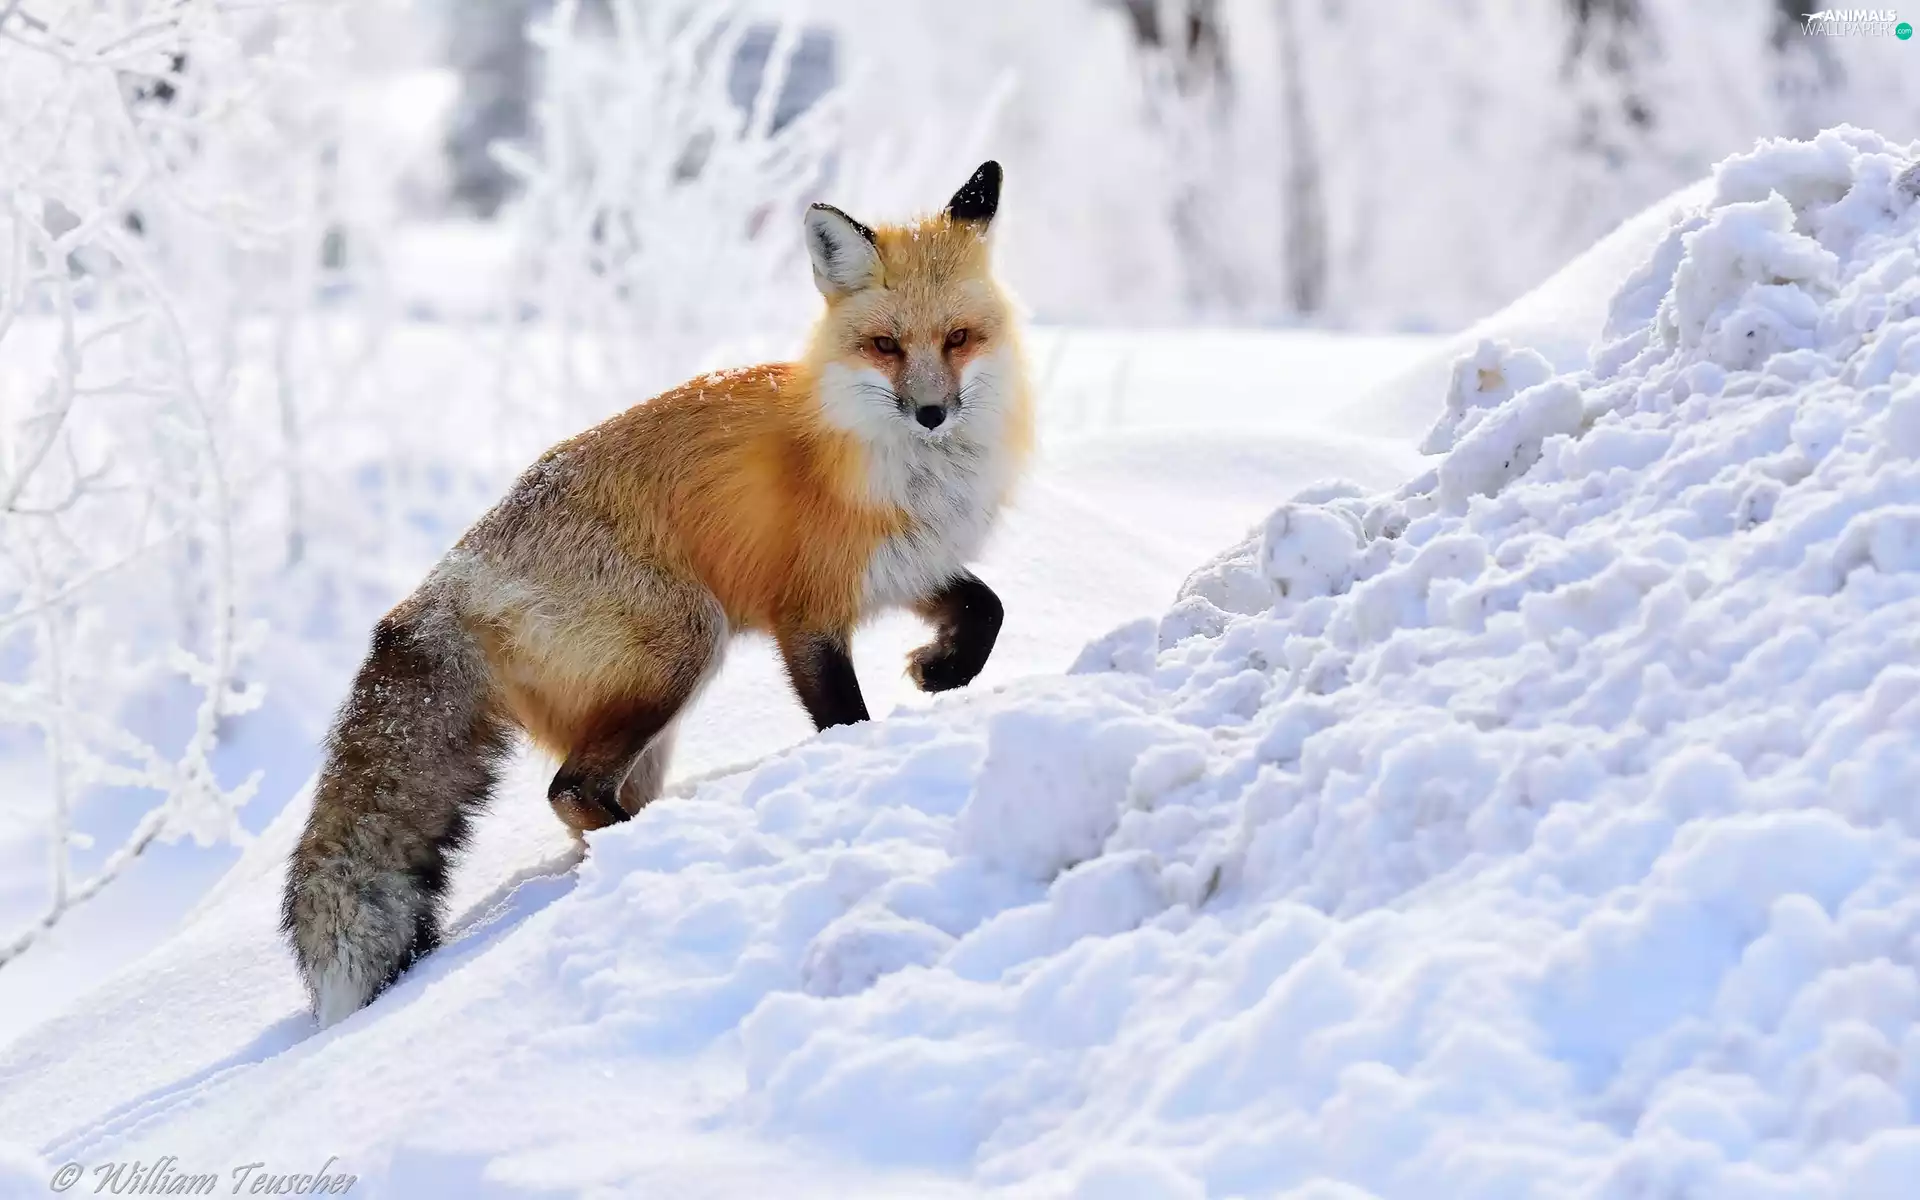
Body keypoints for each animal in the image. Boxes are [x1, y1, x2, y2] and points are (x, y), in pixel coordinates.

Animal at [281, 162, 1032, 1027]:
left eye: (958, 338)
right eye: (886, 346)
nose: (932, 412)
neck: (897, 469)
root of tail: (443, 584)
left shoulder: (908, 566)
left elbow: (987, 609)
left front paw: (941, 670)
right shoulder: (805, 614)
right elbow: (846, 717)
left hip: (650, 714)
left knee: (581, 799)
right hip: (683, 648)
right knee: (570, 789)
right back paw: (653, 837)